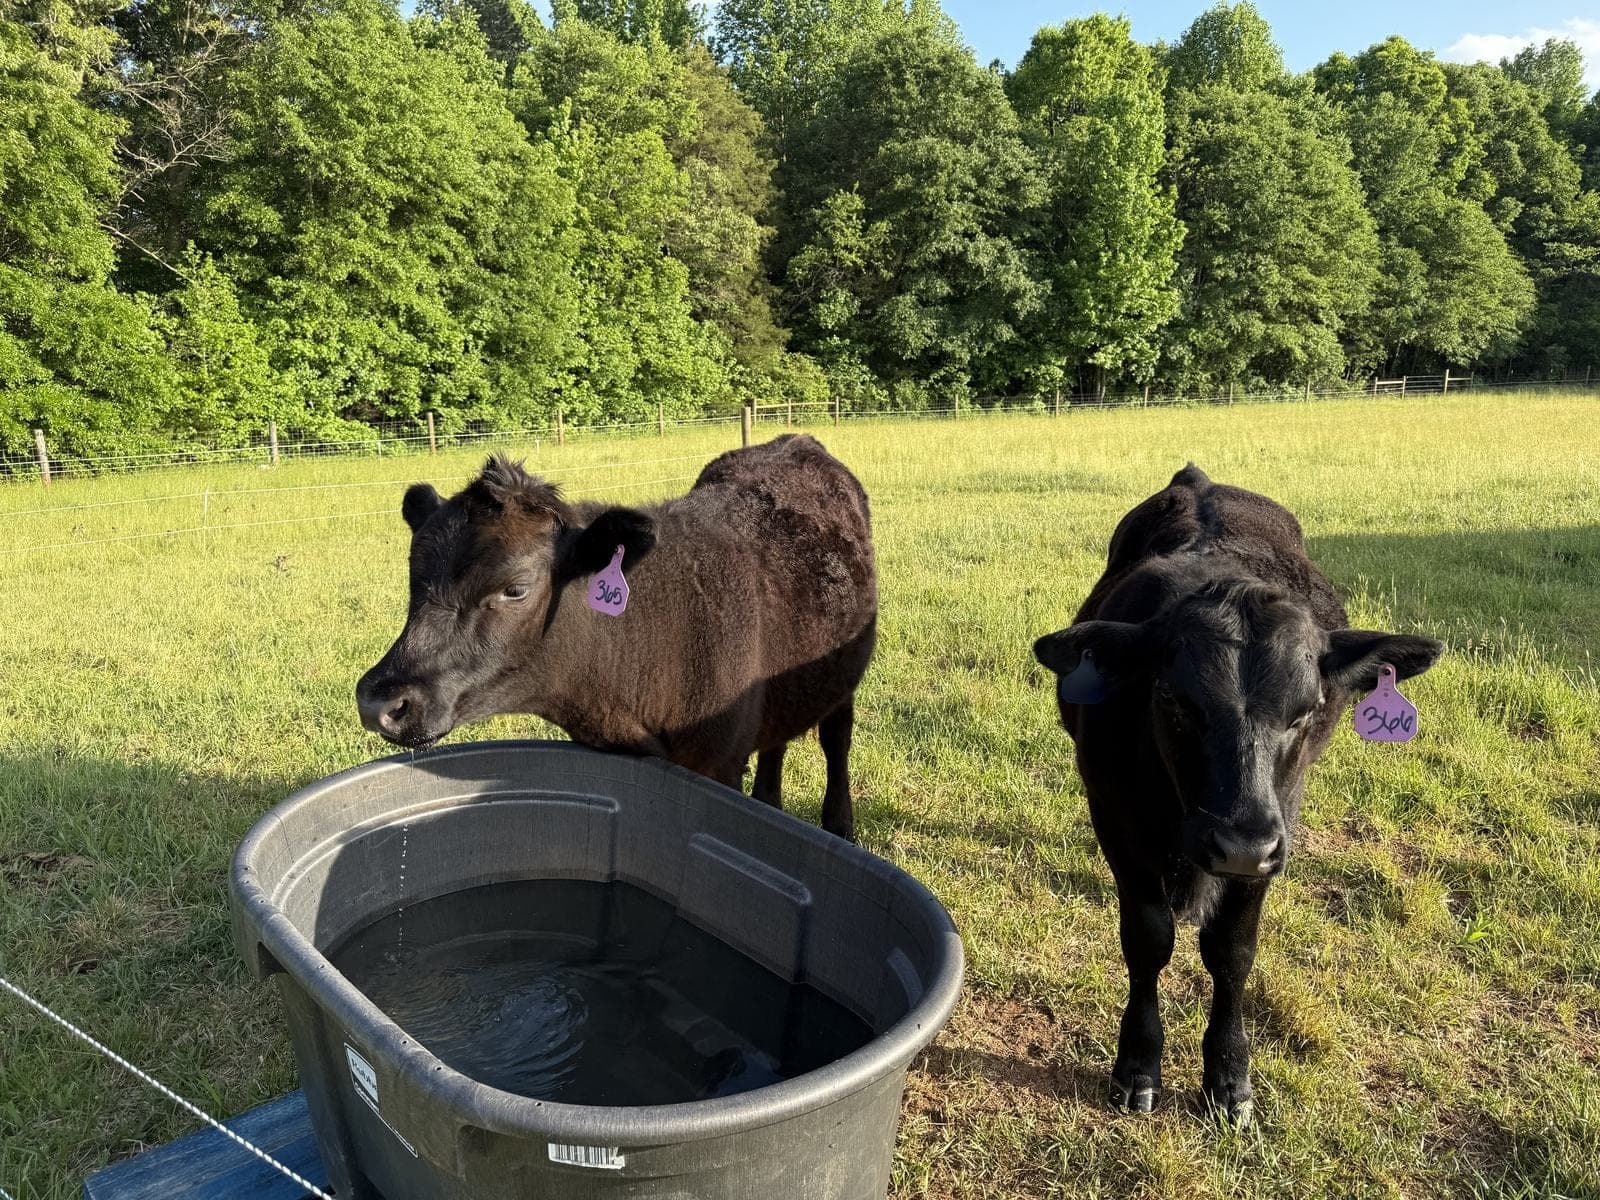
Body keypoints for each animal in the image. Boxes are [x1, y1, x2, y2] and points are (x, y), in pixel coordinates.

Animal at [356, 434, 877, 840]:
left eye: (515, 588)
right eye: (414, 577)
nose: (379, 700)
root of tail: (795, 440)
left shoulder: (720, 759)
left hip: (843, 673)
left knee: (836, 737)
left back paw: (840, 826)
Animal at [1032, 464, 1441, 1125]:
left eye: (1307, 709)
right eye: (1174, 699)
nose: (1238, 845)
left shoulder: (1278, 828)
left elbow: (1231, 951)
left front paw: (1229, 1075)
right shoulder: (1114, 815)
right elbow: (1148, 939)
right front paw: (1138, 1065)